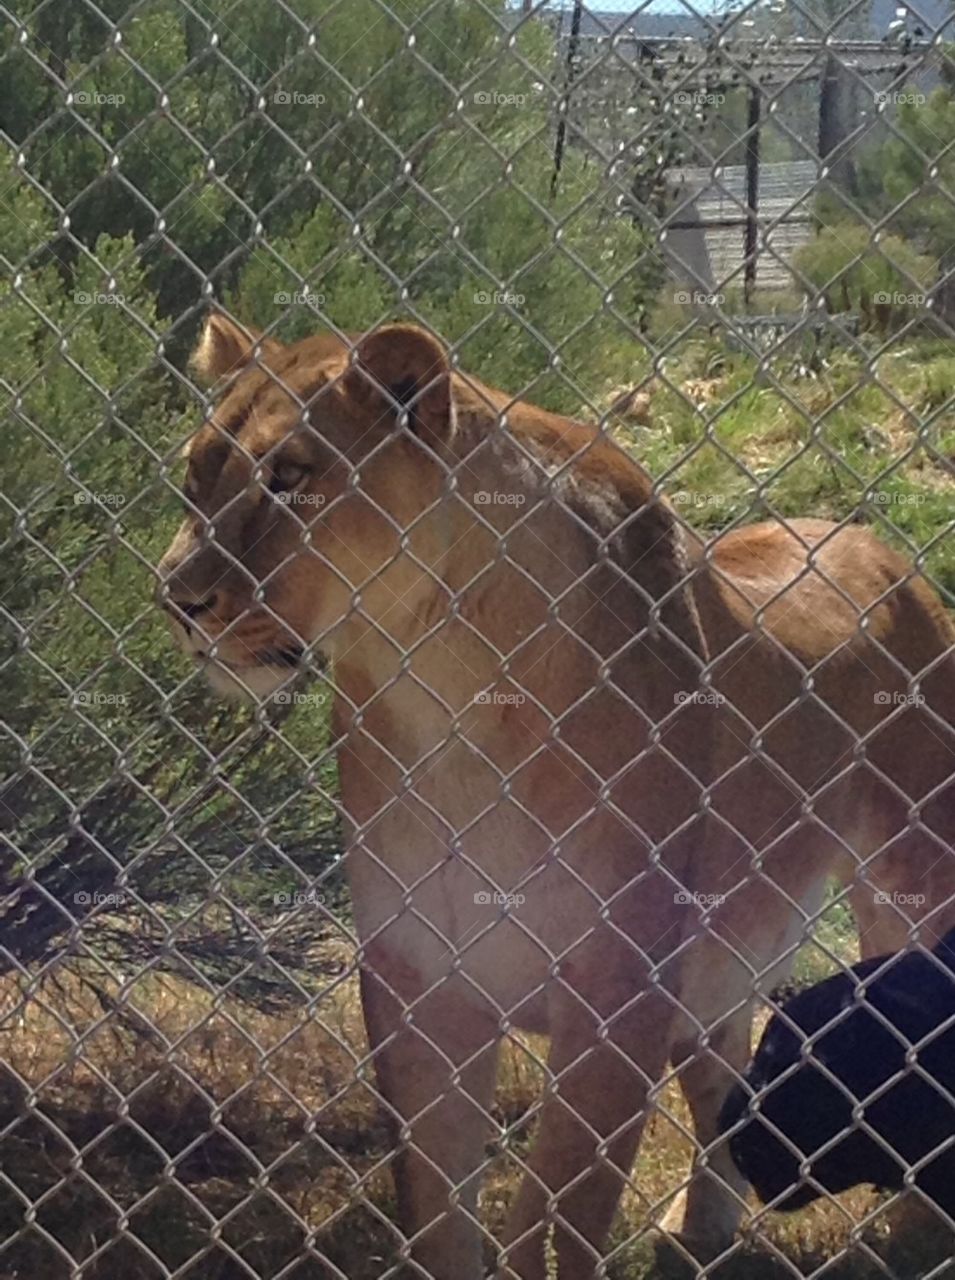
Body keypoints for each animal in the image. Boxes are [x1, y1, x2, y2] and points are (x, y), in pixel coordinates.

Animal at [158, 311, 955, 1279]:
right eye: (197, 474)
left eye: (290, 476)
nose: (177, 599)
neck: (441, 688)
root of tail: (873, 544)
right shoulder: (417, 978)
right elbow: (438, 1210)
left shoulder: (616, 990)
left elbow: (563, 1206)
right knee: (721, 1059)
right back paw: (703, 1224)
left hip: (912, 887)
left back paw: (918, 1223)